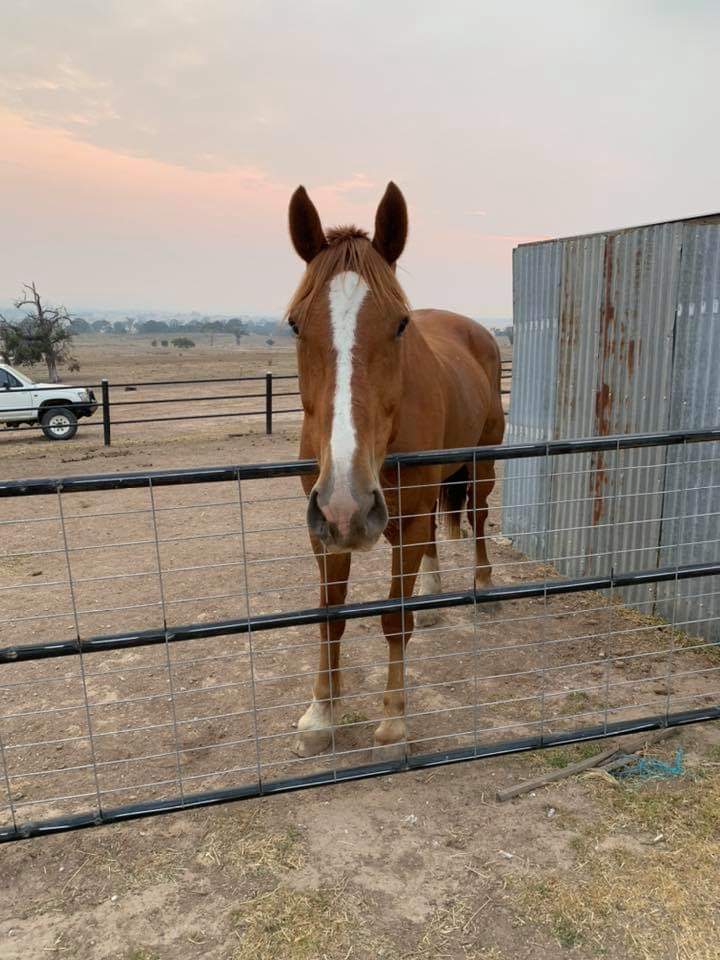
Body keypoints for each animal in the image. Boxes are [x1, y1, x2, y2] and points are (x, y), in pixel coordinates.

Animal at [284, 182, 504, 756]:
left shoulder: (399, 521)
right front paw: (321, 714)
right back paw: (433, 592)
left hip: (481, 465)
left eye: (400, 324)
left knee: (477, 519)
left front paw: (393, 723)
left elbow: (392, 618)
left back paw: (483, 586)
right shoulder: (323, 530)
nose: (348, 505)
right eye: (294, 324)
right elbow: (330, 617)